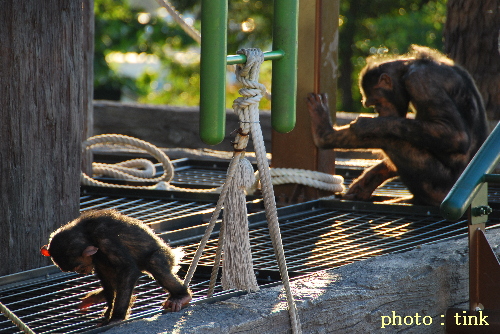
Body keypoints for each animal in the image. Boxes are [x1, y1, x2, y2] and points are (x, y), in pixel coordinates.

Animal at [40, 209, 191, 326]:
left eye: (79, 267)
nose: (81, 271)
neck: (87, 234)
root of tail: (173, 253)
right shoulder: (97, 257)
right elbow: (106, 275)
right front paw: (108, 310)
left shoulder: (106, 239)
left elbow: (127, 268)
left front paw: (116, 316)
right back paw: (98, 296)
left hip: (166, 256)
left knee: (155, 262)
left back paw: (182, 296)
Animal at [306, 45, 486, 206]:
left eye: (376, 102)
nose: (378, 111)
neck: (406, 69)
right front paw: (371, 178)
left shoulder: (420, 82)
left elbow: (455, 134)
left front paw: (368, 124)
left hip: (439, 187)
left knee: (389, 138)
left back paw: (324, 135)